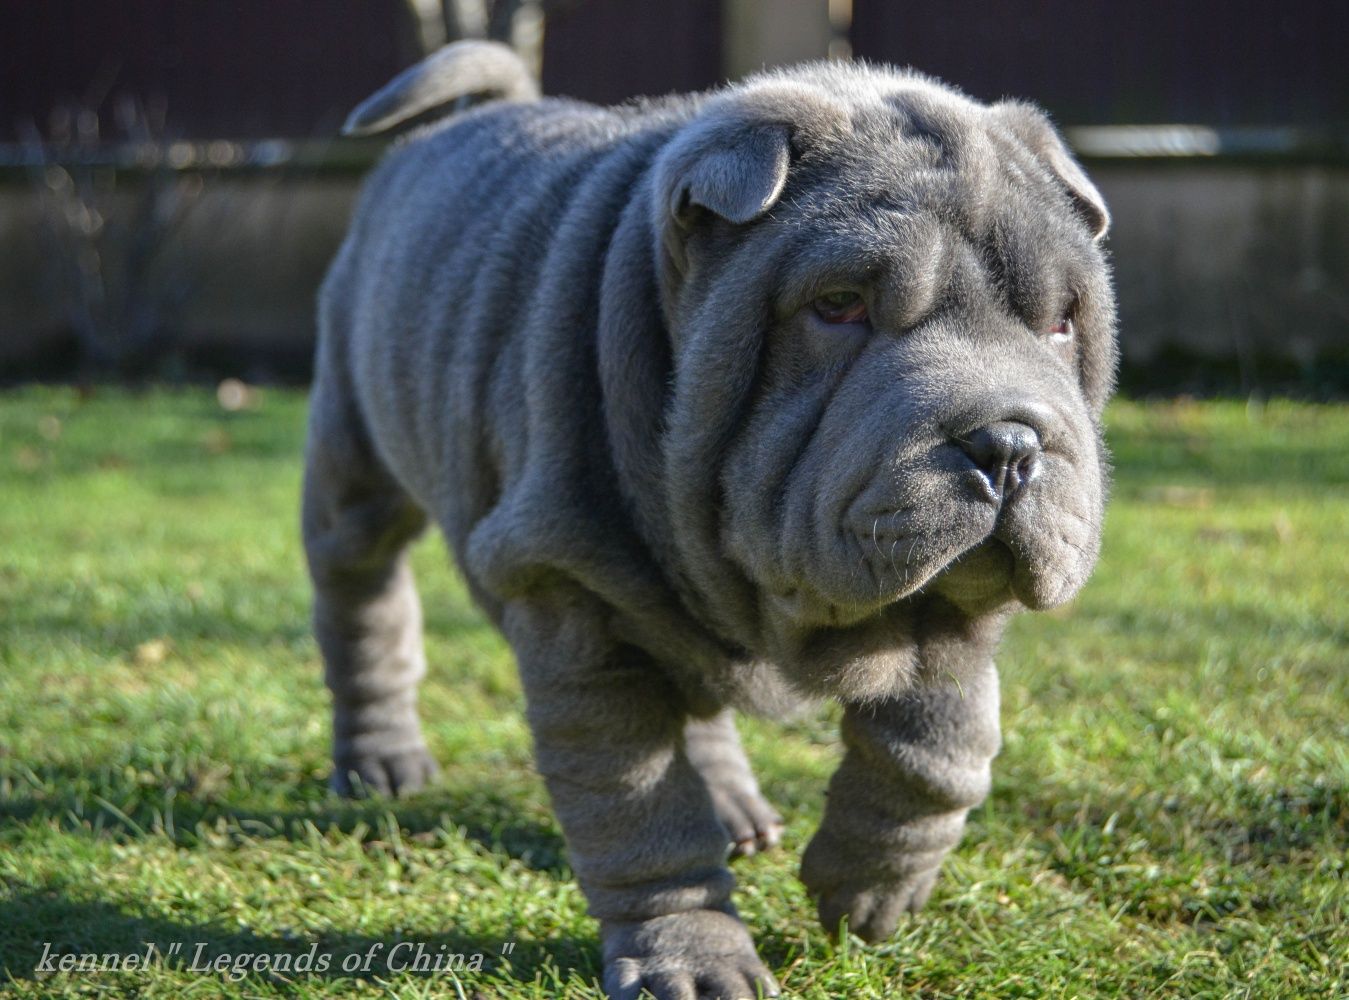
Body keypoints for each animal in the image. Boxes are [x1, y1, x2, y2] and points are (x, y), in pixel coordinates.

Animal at [306, 40, 1116, 998]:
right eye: (837, 305)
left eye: (1061, 322)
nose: (1006, 442)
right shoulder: (574, 598)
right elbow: (642, 813)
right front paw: (688, 959)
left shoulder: (953, 606)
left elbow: (945, 741)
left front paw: (870, 887)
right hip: (353, 459)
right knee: (364, 603)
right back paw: (381, 763)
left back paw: (737, 804)